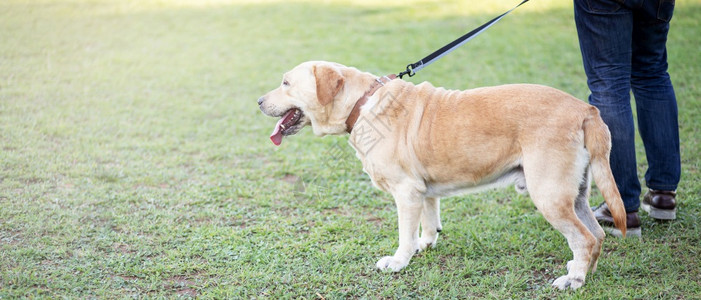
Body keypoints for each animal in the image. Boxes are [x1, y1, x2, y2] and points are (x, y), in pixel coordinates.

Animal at [256, 60, 624, 288]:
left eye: (286, 83)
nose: (258, 101)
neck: (362, 104)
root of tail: (586, 109)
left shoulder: (406, 193)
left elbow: (404, 234)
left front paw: (399, 261)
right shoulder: (423, 191)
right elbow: (428, 222)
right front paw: (425, 244)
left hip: (549, 195)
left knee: (584, 238)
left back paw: (573, 280)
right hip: (574, 195)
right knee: (596, 236)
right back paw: (583, 272)